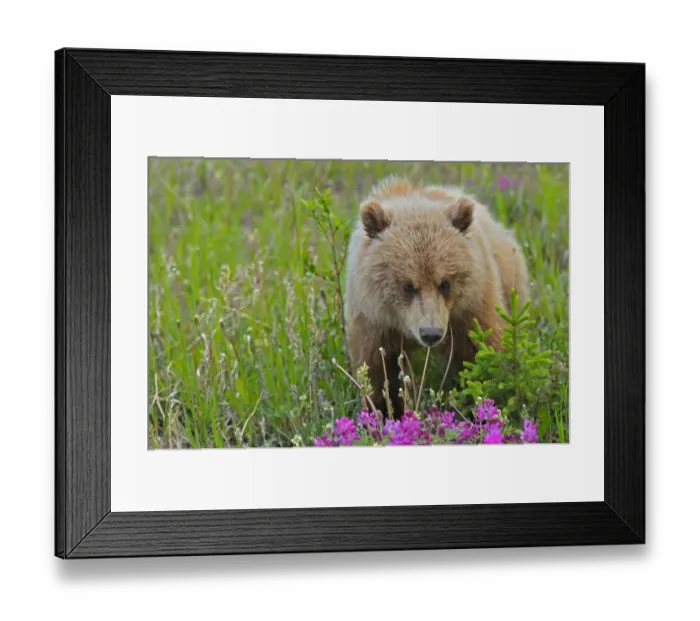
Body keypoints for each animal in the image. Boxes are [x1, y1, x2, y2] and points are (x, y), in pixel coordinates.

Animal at [344, 175, 530, 418]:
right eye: (408, 286)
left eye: (445, 283)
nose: (431, 333)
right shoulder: (373, 318)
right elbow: (377, 369)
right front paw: (385, 411)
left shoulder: (472, 305)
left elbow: (485, 349)